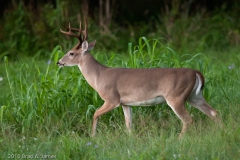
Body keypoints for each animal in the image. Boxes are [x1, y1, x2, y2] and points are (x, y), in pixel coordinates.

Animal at [57, 19, 218, 138]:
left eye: (71, 53)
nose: (58, 62)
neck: (99, 76)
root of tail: (196, 72)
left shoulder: (112, 99)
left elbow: (95, 113)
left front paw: (93, 136)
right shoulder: (126, 103)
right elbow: (128, 124)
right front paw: (130, 140)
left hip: (176, 96)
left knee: (188, 119)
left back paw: (179, 139)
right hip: (194, 96)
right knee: (214, 112)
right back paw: (221, 133)